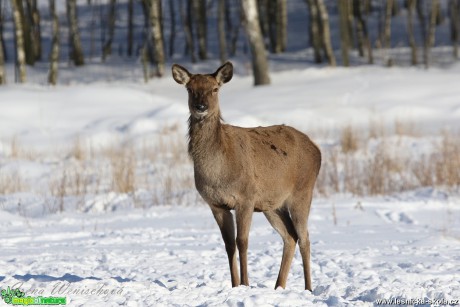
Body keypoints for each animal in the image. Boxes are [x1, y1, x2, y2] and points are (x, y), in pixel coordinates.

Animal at [172, 62, 320, 292]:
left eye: (215, 89)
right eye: (189, 89)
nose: (201, 107)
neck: (218, 173)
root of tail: (318, 150)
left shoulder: (246, 198)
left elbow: (242, 241)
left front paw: (246, 284)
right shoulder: (216, 204)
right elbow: (229, 244)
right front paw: (234, 285)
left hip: (303, 191)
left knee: (305, 238)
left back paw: (308, 288)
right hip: (272, 204)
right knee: (290, 236)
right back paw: (279, 286)